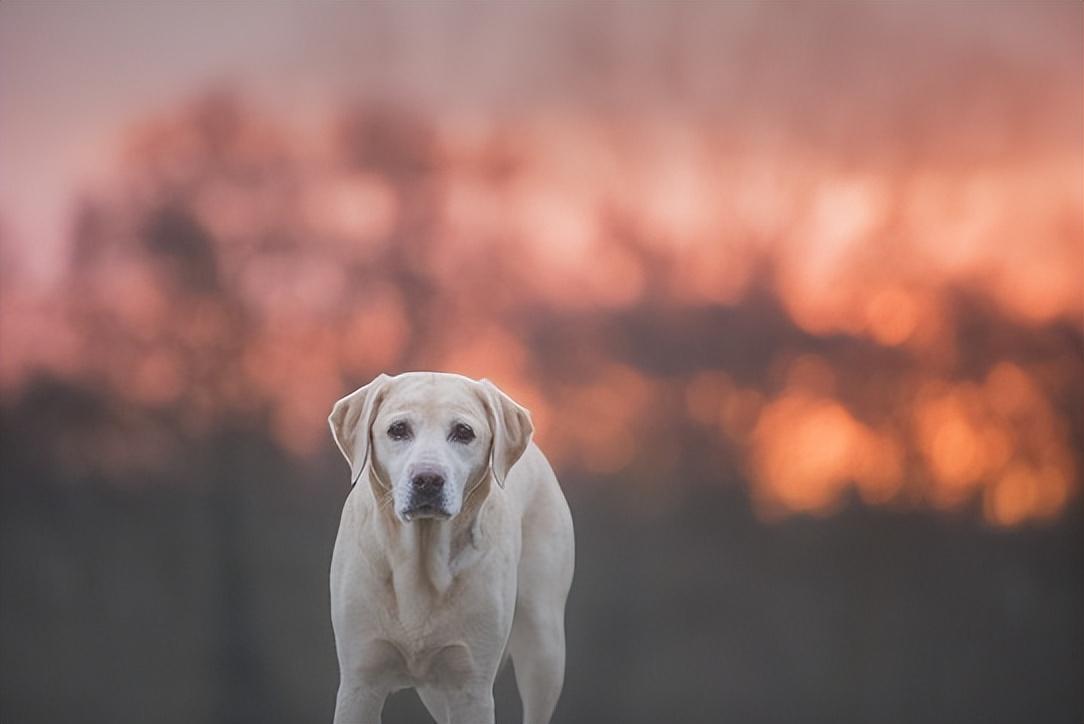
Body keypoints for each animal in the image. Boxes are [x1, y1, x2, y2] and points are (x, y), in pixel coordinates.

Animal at [327, 372, 576, 724]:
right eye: (398, 429)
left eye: (463, 432)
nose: (428, 479)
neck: (421, 562)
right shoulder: (359, 682)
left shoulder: (471, 687)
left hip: (544, 644)